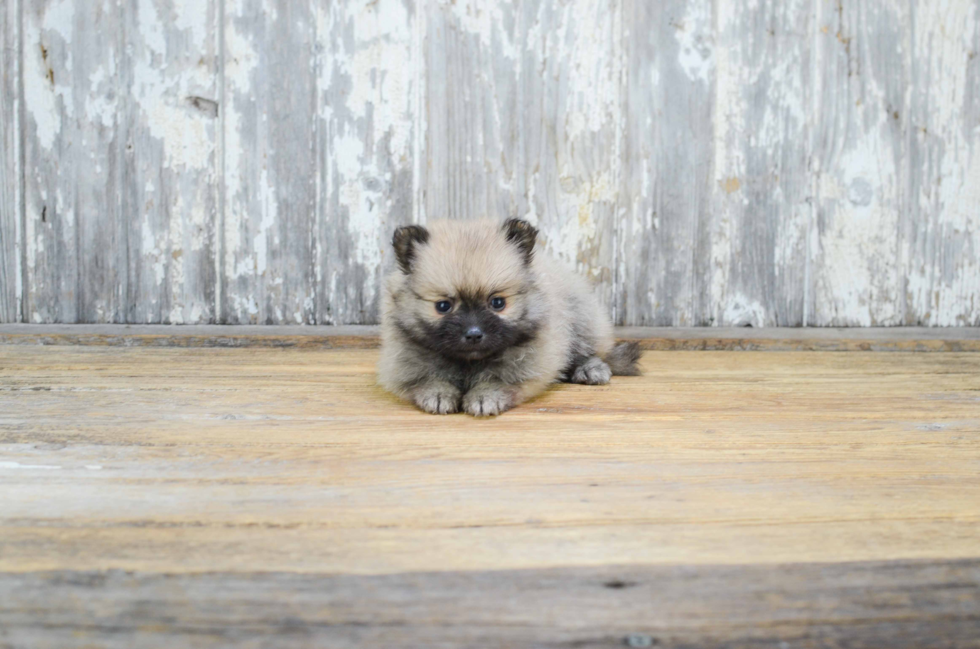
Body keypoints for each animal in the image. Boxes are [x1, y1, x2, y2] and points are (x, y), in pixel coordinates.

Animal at [378, 218, 644, 416]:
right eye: (443, 306)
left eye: (497, 303)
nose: (473, 334)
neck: (468, 363)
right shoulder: (404, 360)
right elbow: (426, 377)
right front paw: (438, 393)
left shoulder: (531, 360)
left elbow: (500, 378)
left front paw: (485, 396)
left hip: (582, 320)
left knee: (591, 351)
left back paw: (590, 369)